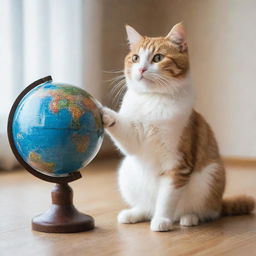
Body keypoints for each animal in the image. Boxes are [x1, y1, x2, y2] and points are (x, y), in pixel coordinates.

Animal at [101, 23, 254, 232]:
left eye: (158, 58)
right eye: (135, 58)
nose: (141, 69)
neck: (153, 99)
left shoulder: (177, 164)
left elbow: (166, 198)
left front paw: (162, 220)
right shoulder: (134, 139)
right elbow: (125, 132)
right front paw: (103, 113)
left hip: (211, 176)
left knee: (208, 212)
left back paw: (189, 217)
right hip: (126, 171)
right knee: (148, 207)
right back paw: (135, 213)